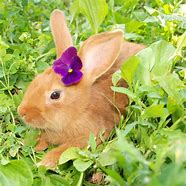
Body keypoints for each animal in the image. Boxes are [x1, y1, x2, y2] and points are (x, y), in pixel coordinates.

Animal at [17, 9, 145, 167]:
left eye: (55, 95)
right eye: (36, 80)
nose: (22, 112)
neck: (79, 109)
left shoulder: (90, 135)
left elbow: (63, 151)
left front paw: (44, 163)